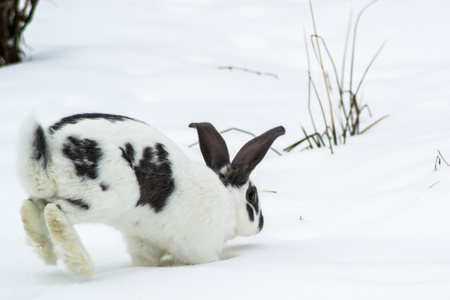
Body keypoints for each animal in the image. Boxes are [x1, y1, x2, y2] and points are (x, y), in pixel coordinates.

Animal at [18, 112, 284, 276]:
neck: (226, 199)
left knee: (31, 206)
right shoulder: (201, 249)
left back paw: (47, 254)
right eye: (252, 195)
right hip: (105, 199)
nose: (261, 223)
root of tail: (52, 152)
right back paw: (82, 265)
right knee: (55, 212)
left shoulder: (143, 243)